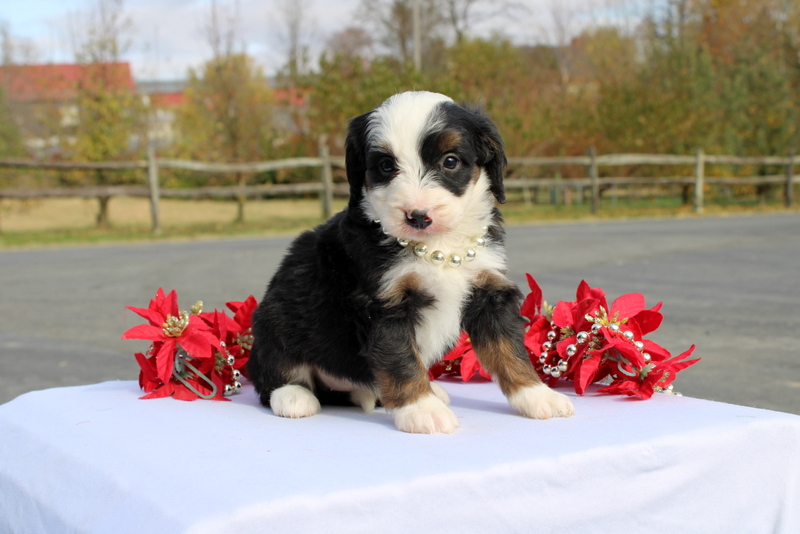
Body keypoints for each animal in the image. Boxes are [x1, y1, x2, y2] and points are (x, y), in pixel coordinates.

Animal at [250, 91, 576, 436]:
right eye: (385, 166)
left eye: (450, 161)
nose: (418, 216)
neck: (439, 248)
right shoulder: (385, 304)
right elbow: (401, 361)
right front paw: (421, 410)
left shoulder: (488, 292)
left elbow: (509, 351)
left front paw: (538, 395)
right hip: (273, 319)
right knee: (274, 373)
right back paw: (294, 397)